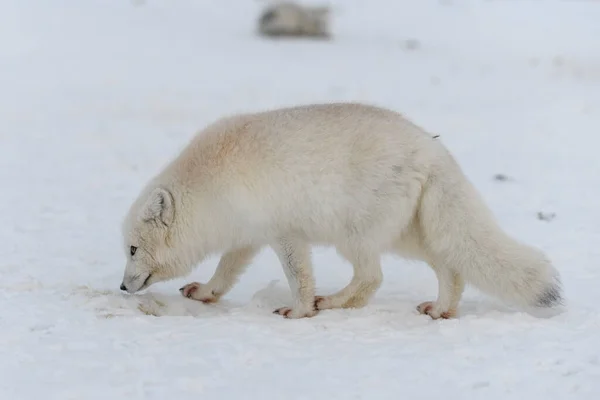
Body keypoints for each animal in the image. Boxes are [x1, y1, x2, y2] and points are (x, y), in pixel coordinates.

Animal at [118, 102, 564, 318]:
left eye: (133, 249)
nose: (122, 287)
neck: (211, 185)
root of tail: (431, 147)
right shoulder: (249, 236)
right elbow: (226, 273)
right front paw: (206, 293)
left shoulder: (285, 233)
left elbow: (299, 277)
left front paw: (299, 311)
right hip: (408, 236)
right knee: (449, 268)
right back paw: (441, 310)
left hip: (355, 234)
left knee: (372, 278)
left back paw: (330, 304)